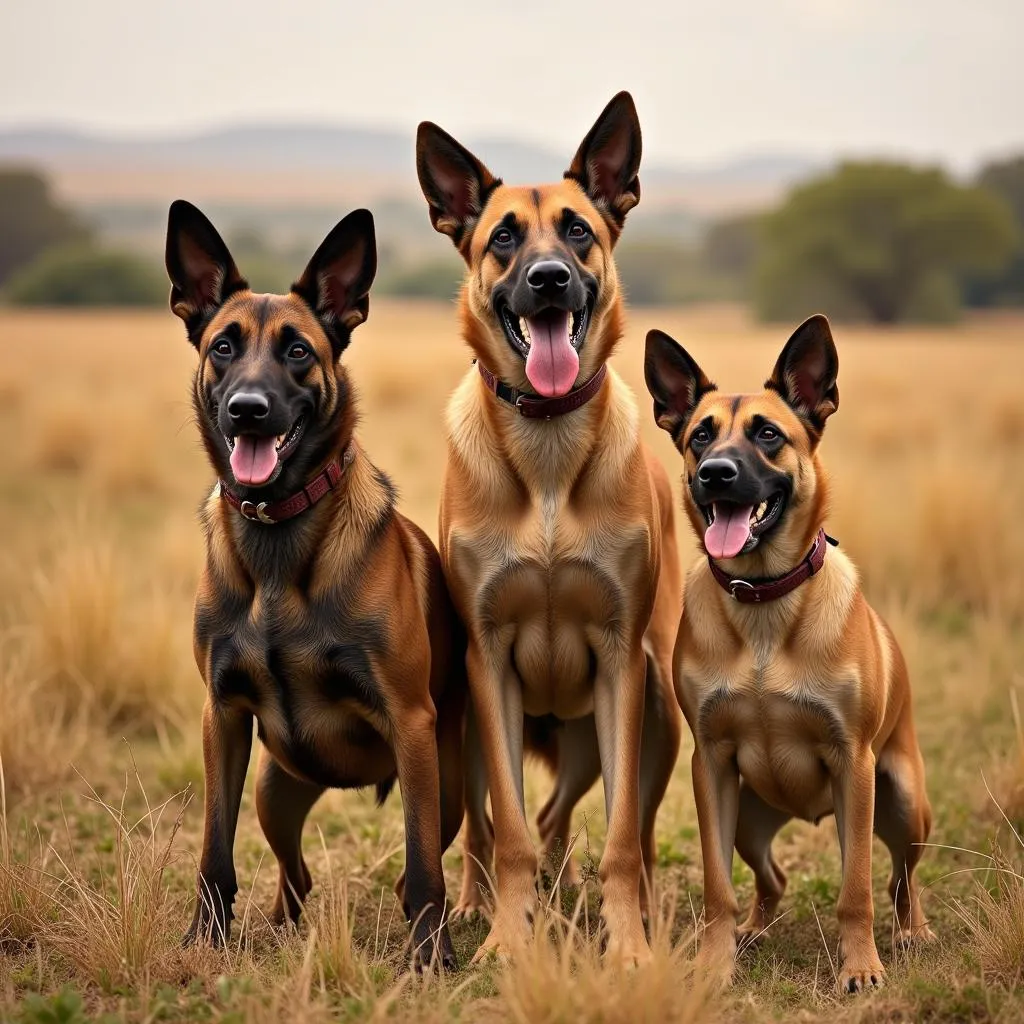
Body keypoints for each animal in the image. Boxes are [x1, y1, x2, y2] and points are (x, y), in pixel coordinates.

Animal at [411, 92, 684, 962]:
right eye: (503, 237)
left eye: (577, 231)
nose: (550, 279)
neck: (550, 448)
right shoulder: (488, 659)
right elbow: (508, 833)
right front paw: (506, 942)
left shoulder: (620, 666)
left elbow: (622, 838)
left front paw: (628, 945)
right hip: (465, 723)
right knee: (493, 826)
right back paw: (478, 905)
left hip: (649, 712)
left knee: (583, 820)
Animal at [647, 317, 937, 991]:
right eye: (700, 436)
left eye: (769, 435)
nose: (716, 473)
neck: (763, 601)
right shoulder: (710, 765)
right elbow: (717, 888)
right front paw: (714, 963)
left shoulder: (854, 764)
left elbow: (856, 888)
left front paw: (861, 969)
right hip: (749, 821)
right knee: (770, 878)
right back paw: (751, 931)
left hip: (902, 803)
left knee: (900, 879)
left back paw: (911, 933)